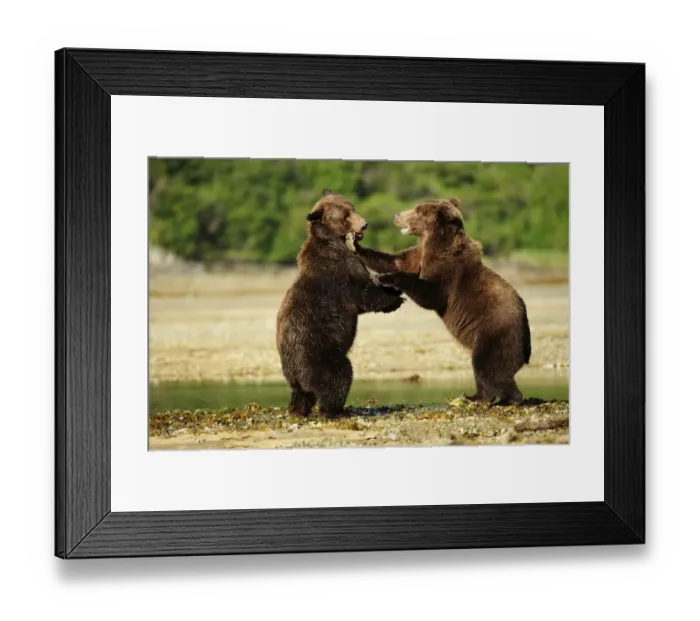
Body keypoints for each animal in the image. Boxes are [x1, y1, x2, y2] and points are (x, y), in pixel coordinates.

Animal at [276, 190, 405, 417]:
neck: (335, 241)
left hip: (296, 370)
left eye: (353, 208)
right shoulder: (339, 272)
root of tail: (293, 368)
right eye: (345, 216)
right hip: (318, 353)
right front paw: (395, 297)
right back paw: (336, 411)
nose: (364, 225)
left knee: (302, 393)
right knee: (338, 377)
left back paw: (298, 409)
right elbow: (364, 295)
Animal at [356, 197, 531, 405]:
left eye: (417, 210)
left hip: (496, 332)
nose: (397, 215)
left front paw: (382, 278)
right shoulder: (420, 253)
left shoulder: (448, 271)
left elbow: (430, 294)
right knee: (484, 370)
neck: (433, 241)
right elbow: (394, 261)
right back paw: (473, 397)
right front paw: (355, 244)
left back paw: (506, 399)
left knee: (488, 366)